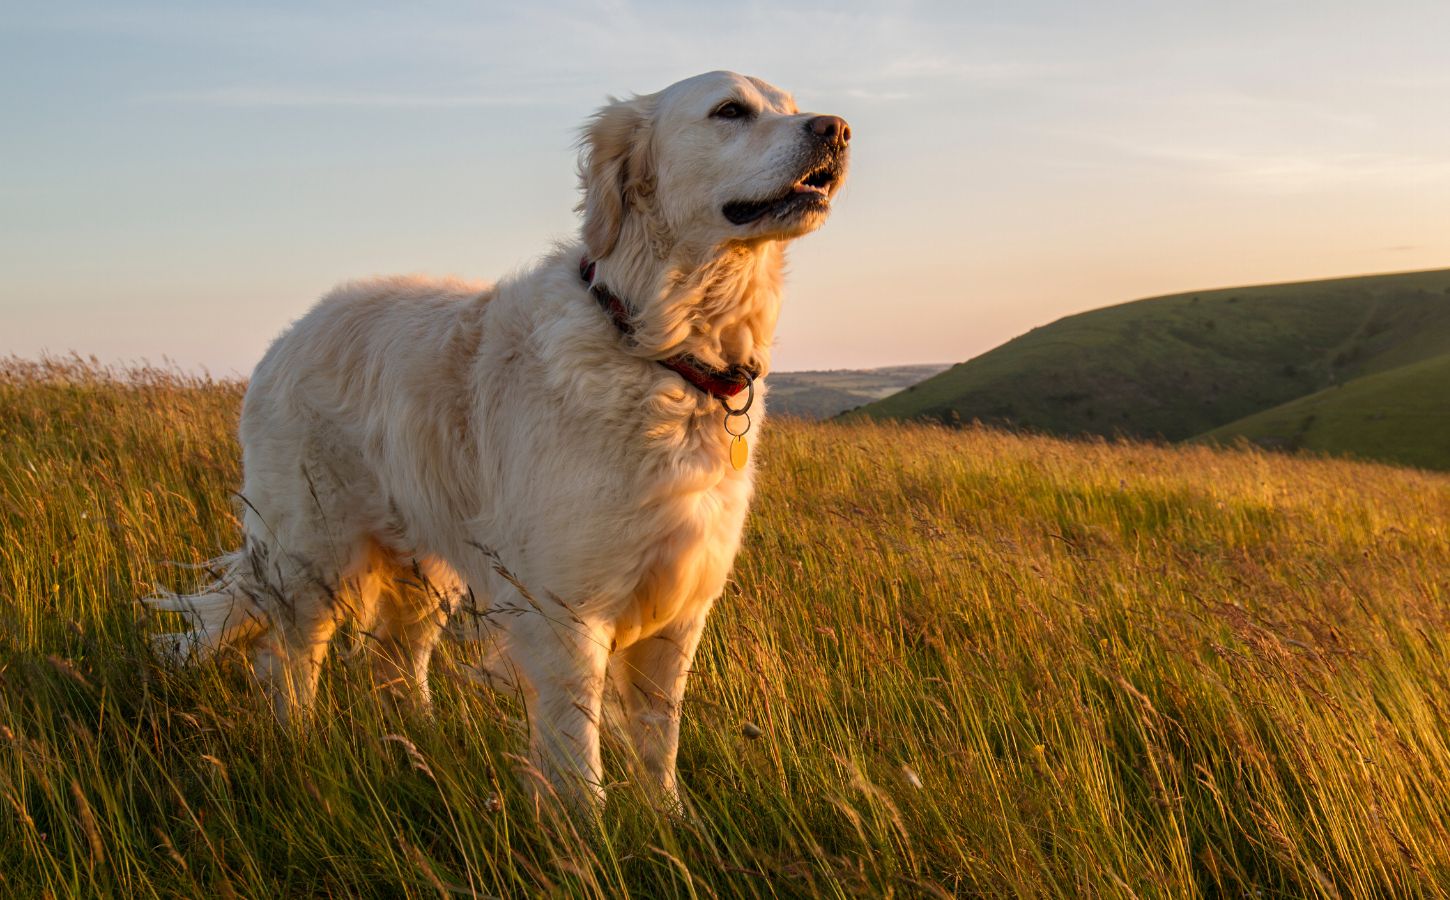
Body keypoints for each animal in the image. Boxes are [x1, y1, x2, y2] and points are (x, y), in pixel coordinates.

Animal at [150, 72, 846, 805]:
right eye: (730, 111)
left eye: (793, 108)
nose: (837, 129)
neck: (660, 347)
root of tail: (289, 334)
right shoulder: (566, 610)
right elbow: (578, 759)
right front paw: (589, 831)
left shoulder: (680, 609)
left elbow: (660, 743)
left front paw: (669, 821)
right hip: (314, 553)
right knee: (290, 659)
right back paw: (300, 750)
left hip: (424, 570)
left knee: (393, 661)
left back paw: (419, 748)